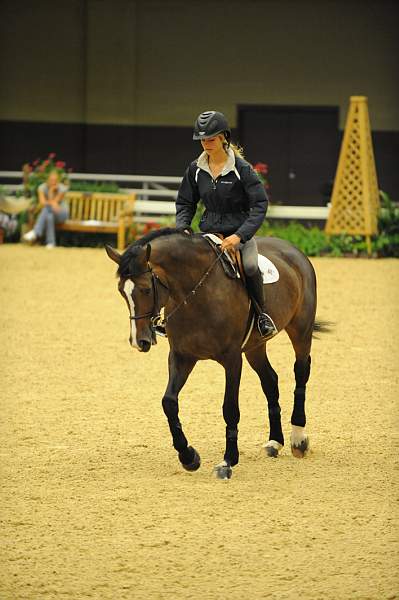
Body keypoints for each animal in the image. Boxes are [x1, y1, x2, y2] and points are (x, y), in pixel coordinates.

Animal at [106, 227, 328, 480]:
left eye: (145, 289)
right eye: (122, 292)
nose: (139, 341)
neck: (195, 293)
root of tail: (293, 250)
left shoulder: (232, 359)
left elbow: (229, 408)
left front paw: (228, 461)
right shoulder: (181, 356)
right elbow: (169, 402)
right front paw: (189, 457)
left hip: (301, 330)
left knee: (301, 373)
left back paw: (298, 439)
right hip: (255, 347)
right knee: (270, 381)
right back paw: (275, 442)